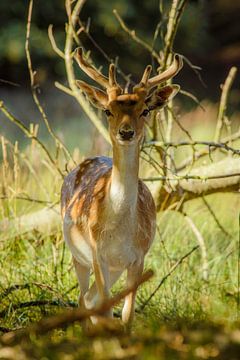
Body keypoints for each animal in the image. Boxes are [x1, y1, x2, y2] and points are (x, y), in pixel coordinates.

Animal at [60, 47, 182, 324]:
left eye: (145, 110)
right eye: (108, 110)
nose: (126, 132)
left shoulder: (138, 257)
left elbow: (127, 314)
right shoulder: (98, 255)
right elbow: (106, 308)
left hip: (114, 267)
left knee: (89, 299)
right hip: (77, 255)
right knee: (83, 299)